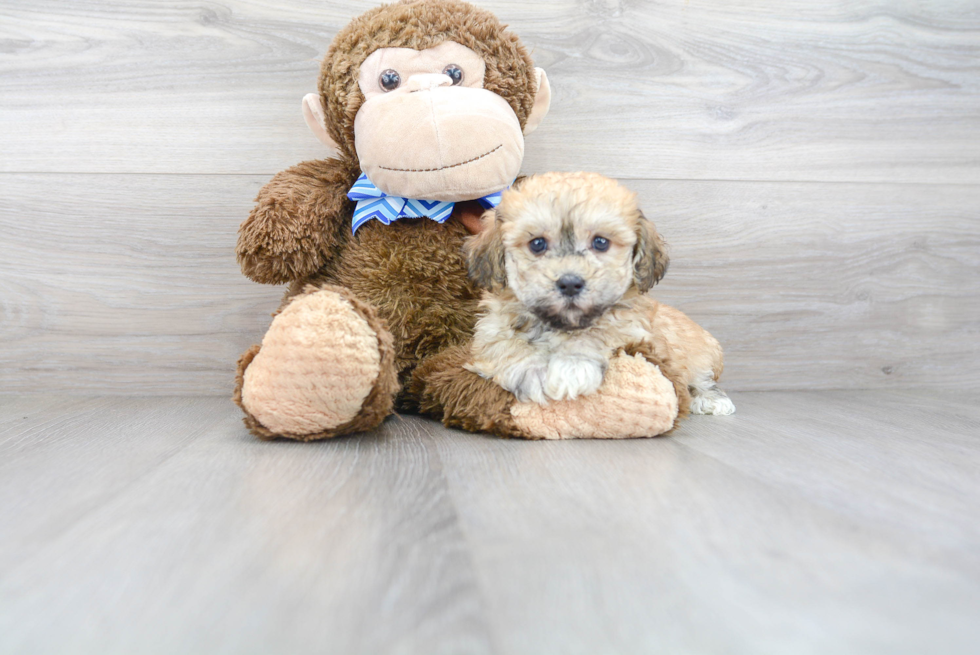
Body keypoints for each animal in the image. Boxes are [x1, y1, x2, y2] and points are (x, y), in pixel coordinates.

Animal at [464, 172, 732, 412]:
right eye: (537, 244)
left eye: (601, 242)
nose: (570, 283)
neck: (559, 324)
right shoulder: (489, 329)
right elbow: (505, 344)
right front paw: (533, 371)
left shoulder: (630, 328)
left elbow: (598, 332)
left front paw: (572, 366)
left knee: (701, 378)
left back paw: (712, 399)